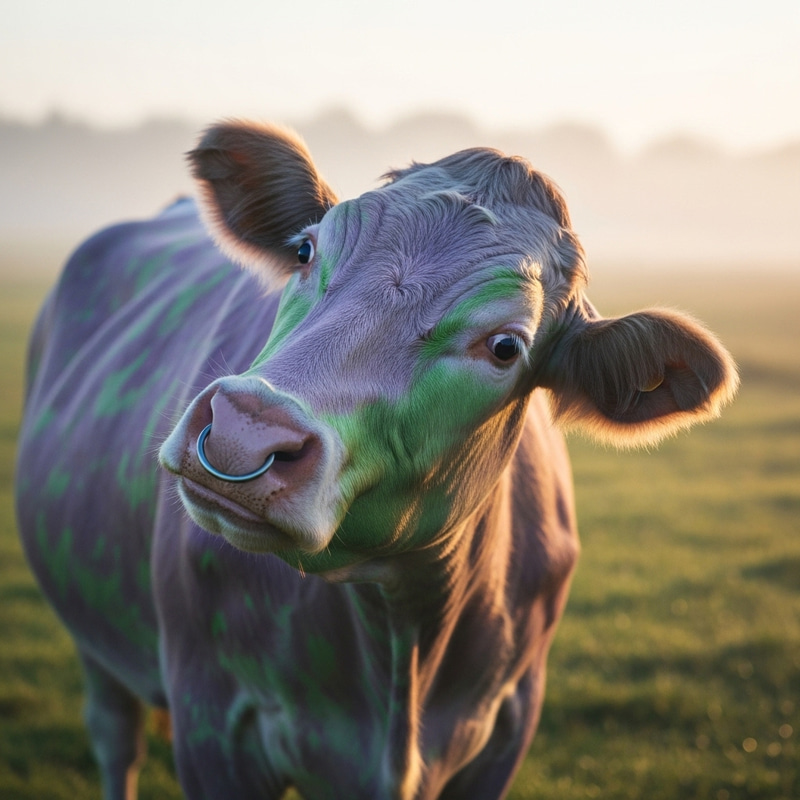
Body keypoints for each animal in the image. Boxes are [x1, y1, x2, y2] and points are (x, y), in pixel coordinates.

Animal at [15, 121, 738, 800]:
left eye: (506, 347)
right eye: (306, 250)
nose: (244, 432)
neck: (403, 629)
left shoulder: (507, 729)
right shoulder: (211, 718)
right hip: (96, 641)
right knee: (116, 738)